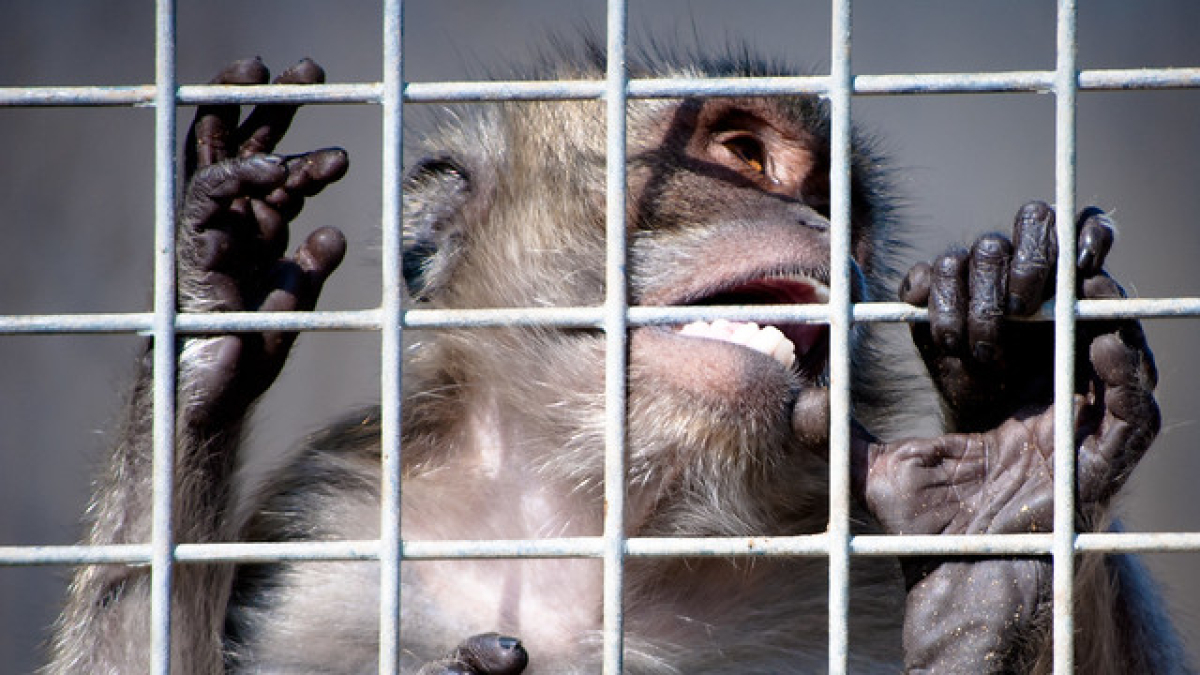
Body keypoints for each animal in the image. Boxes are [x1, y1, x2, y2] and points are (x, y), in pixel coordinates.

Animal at [46, 44, 1190, 674]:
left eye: (840, 204)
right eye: (741, 155)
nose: (824, 229)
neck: (604, 513)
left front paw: (1004, 505)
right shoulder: (326, 541)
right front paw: (211, 304)